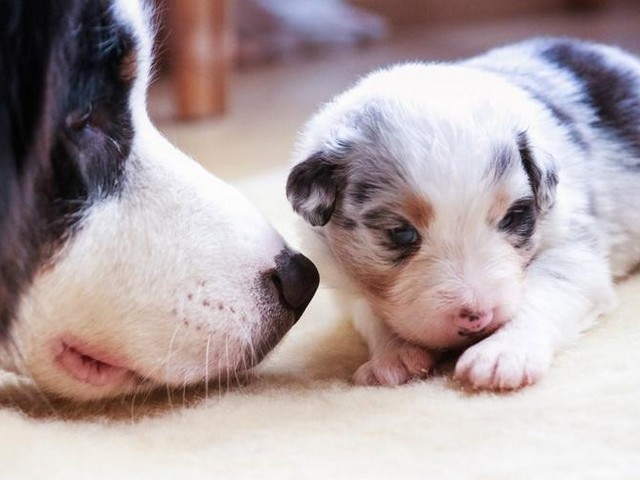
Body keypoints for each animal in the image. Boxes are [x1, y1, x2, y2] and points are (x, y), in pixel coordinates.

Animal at [286, 37, 640, 390]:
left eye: (511, 217)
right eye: (401, 233)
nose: (477, 318)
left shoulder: (574, 243)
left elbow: (547, 288)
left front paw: (502, 353)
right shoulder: (341, 278)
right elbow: (368, 309)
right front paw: (393, 358)